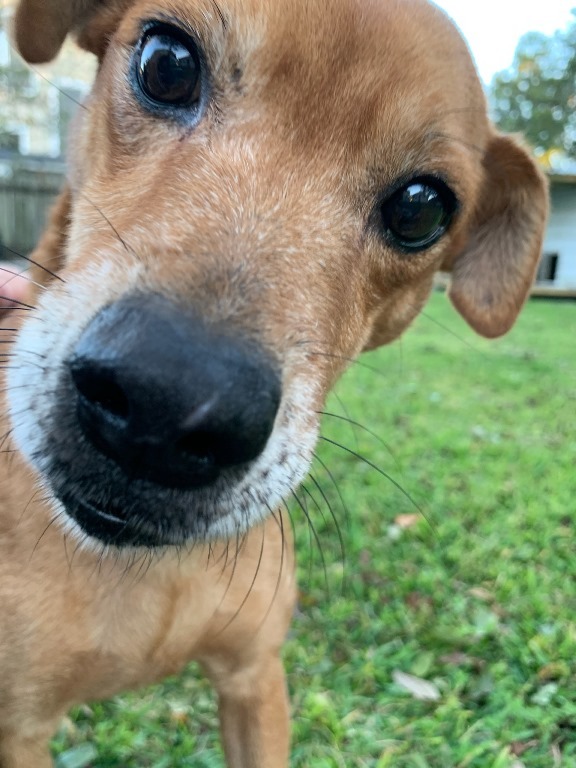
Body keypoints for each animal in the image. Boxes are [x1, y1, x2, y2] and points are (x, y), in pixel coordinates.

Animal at [1, 0, 548, 764]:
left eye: (421, 207)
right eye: (166, 63)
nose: (165, 405)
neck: (146, 575)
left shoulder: (255, 676)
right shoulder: (17, 728)